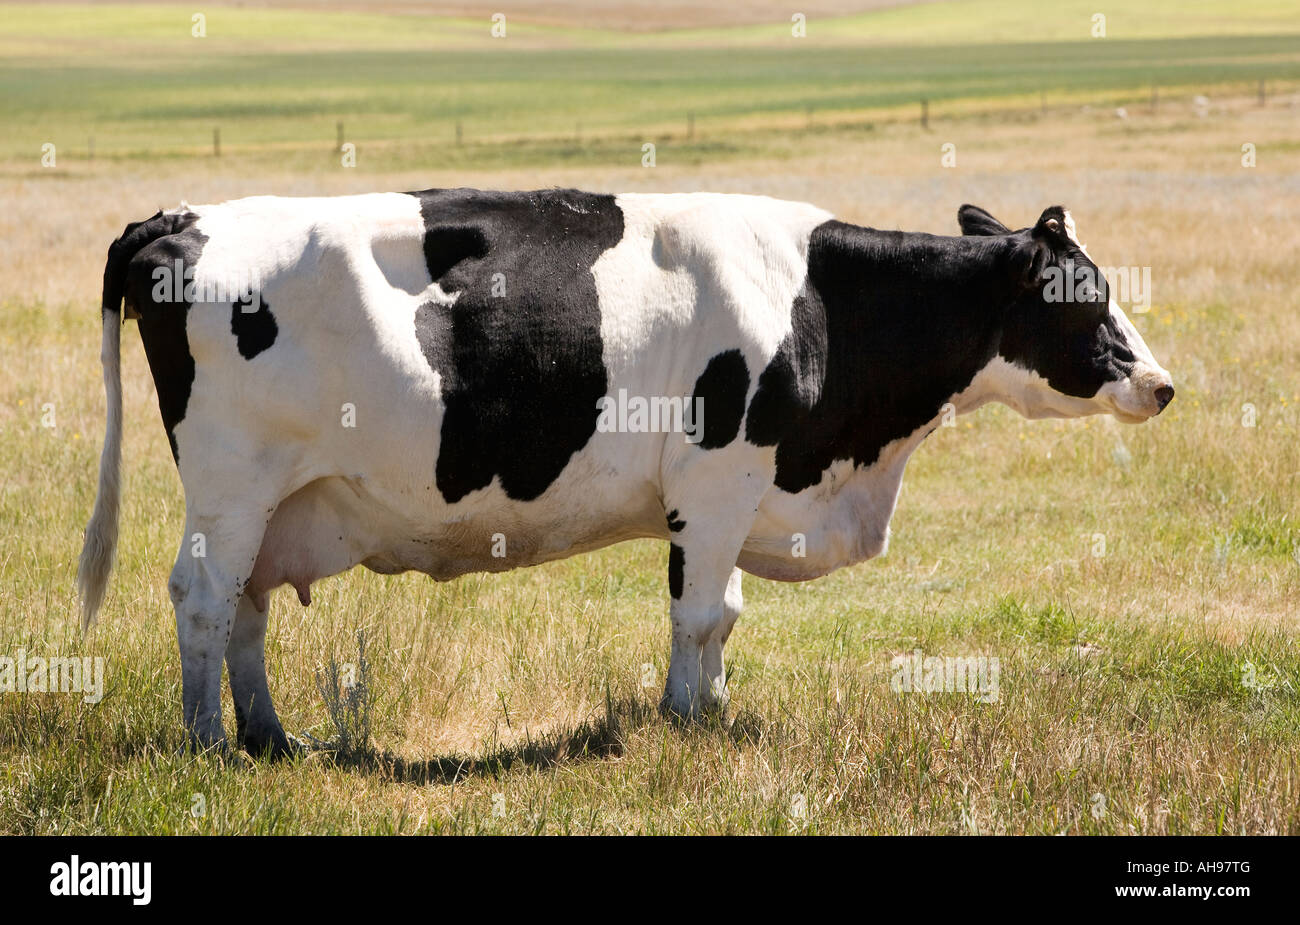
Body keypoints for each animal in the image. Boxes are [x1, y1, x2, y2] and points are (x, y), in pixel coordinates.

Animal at [77, 190, 1173, 756]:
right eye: (1084, 297)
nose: (1161, 384)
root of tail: (176, 217)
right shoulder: (720, 478)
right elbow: (699, 612)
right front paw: (686, 718)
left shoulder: (735, 494)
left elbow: (724, 614)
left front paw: (716, 709)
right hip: (233, 483)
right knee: (204, 596)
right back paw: (209, 743)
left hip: (278, 498)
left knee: (248, 604)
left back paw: (273, 736)